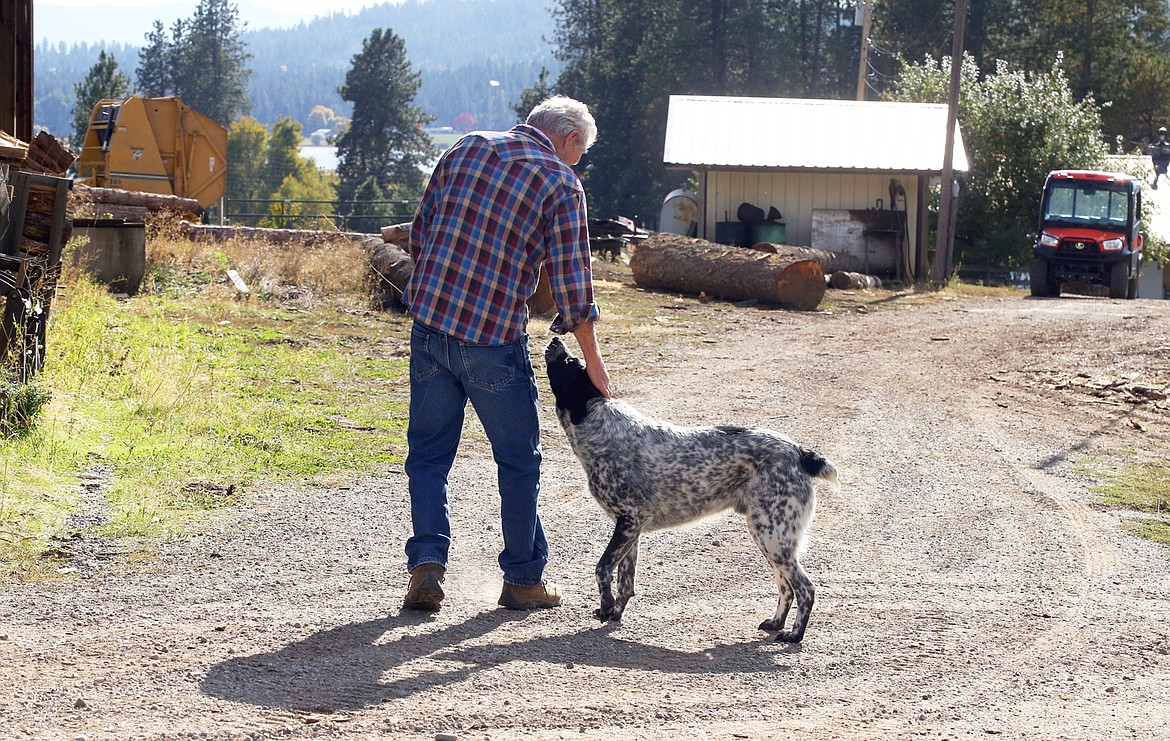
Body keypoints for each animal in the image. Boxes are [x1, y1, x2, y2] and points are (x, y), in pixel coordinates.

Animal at [542, 337, 837, 641]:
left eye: (569, 362)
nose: (555, 338)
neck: (599, 424)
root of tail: (800, 452)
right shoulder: (631, 528)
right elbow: (626, 580)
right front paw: (615, 613)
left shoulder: (629, 521)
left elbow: (602, 568)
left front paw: (606, 606)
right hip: (771, 540)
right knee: (786, 586)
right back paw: (777, 623)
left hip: (773, 536)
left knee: (805, 588)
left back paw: (795, 635)